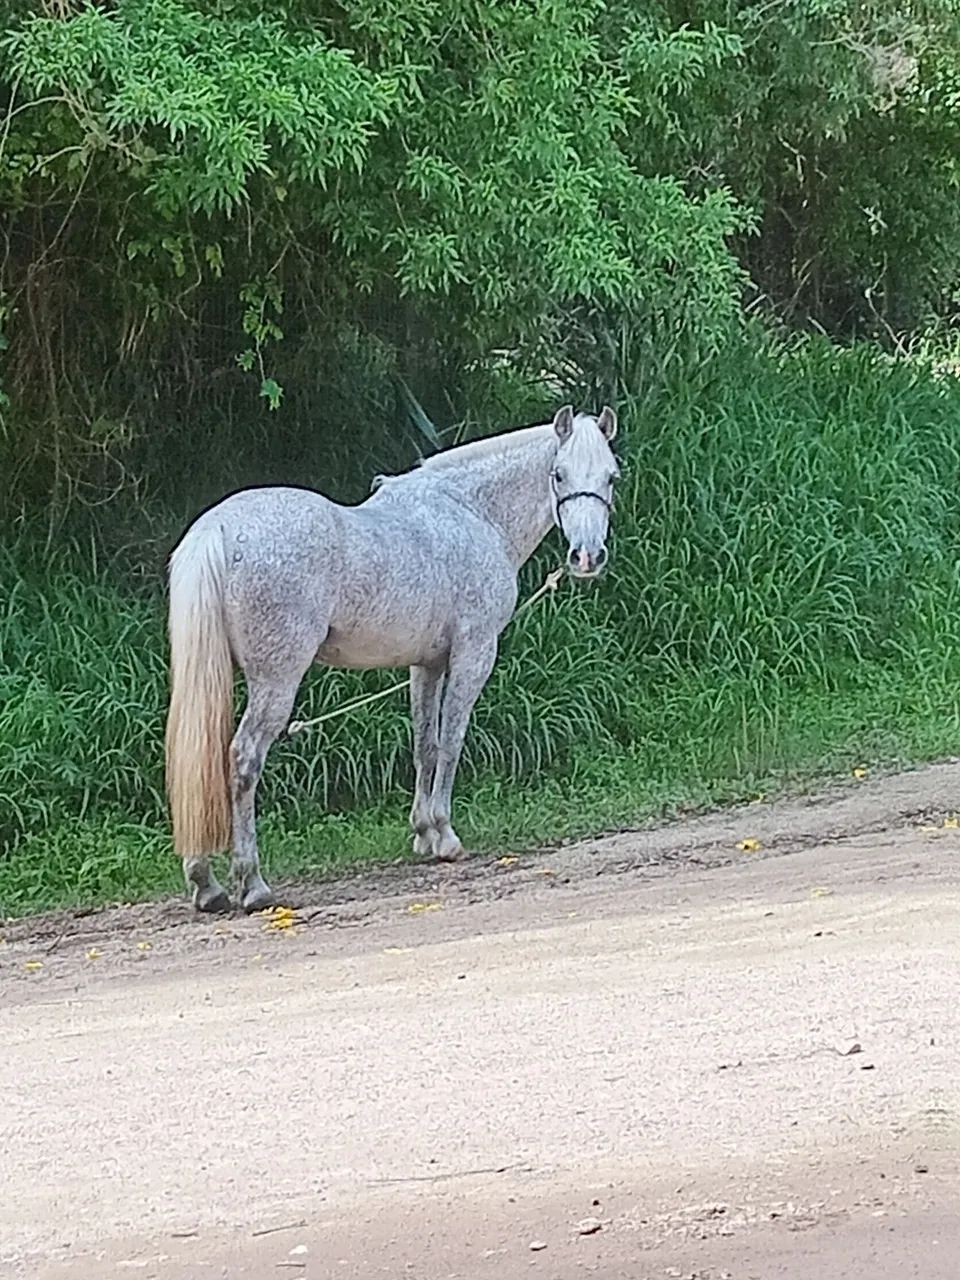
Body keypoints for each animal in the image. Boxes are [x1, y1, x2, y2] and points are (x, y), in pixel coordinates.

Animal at [164, 404, 619, 913]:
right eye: (558, 475)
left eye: (611, 477)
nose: (586, 557)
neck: (472, 514)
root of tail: (217, 530)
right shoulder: (474, 653)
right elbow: (452, 741)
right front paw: (446, 837)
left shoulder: (427, 664)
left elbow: (425, 745)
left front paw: (424, 833)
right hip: (275, 684)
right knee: (243, 760)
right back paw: (253, 884)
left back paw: (207, 885)